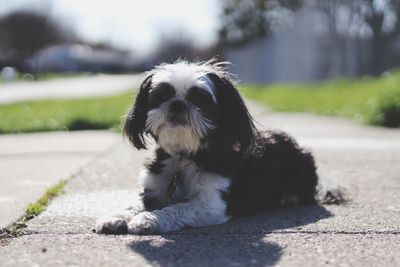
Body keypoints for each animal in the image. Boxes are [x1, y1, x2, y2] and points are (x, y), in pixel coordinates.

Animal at [96, 59, 338, 236]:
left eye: (200, 100)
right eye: (162, 96)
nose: (177, 104)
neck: (185, 156)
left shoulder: (211, 205)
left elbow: (178, 208)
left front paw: (148, 219)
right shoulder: (154, 189)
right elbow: (133, 204)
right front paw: (115, 217)